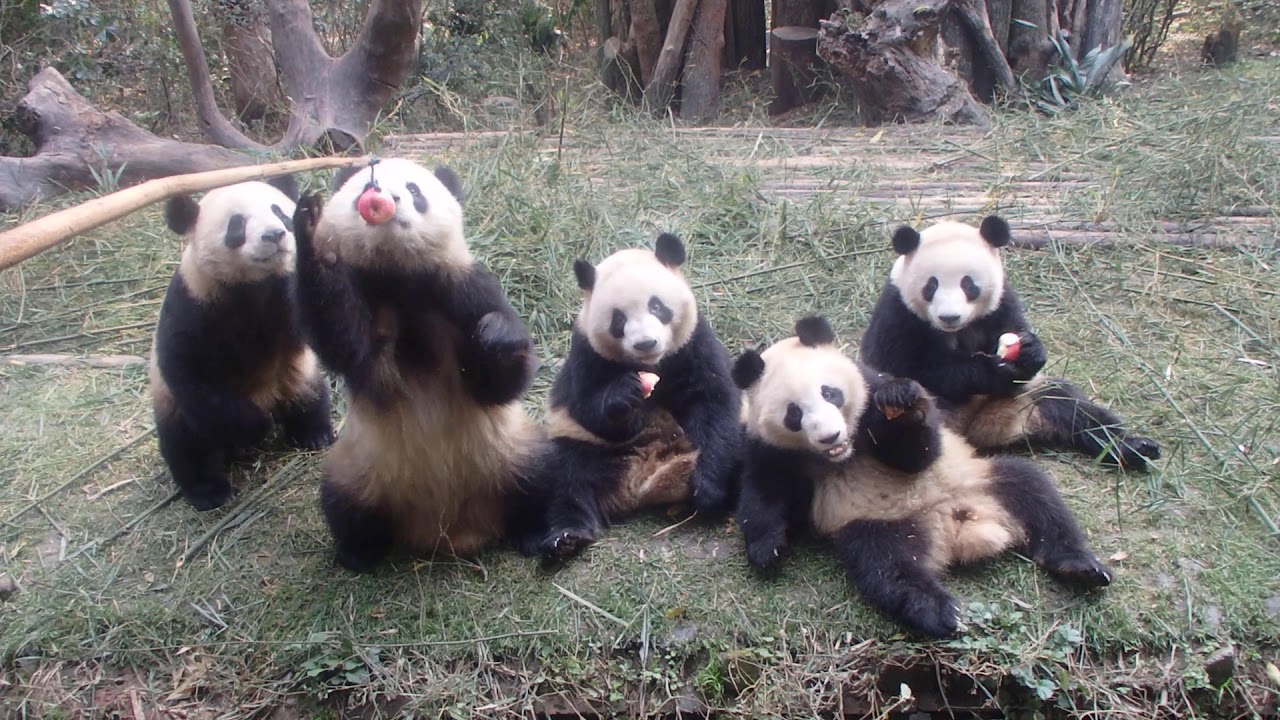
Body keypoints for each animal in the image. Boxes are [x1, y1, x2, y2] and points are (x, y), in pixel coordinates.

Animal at [150, 176, 334, 511]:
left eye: (279, 212)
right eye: (236, 224)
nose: (275, 234)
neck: (253, 283)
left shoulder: (285, 293)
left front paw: (309, 221)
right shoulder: (194, 303)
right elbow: (189, 371)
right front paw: (253, 428)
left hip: (296, 375)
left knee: (310, 396)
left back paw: (315, 435)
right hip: (173, 406)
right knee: (187, 446)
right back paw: (210, 490)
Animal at [291, 157, 543, 573]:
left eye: (413, 190)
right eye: (367, 187)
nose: (387, 200)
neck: (399, 275)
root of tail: (450, 529)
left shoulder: (461, 287)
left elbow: (499, 386)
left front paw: (498, 335)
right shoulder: (369, 297)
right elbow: (345, 342)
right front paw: (312, 232)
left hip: (507, 450)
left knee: (543, 474)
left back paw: (549, 534)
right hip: (362, 467)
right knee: (342, 503)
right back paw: (358, 553)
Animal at [509, 233, 741, 560]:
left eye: (657, 306)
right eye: (618, 320)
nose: (646, 343)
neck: (651, 364)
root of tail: (642, 484)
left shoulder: (694, 343)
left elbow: (714, 402)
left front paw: (708, 490)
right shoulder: (586, 352)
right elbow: (587, 406)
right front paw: (624, 396)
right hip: (590, 451)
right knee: (564, 479)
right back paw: (565, 537)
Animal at [732, 315, 1113, 637]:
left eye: (830, 393)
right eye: (794, 414)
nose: (830, 436)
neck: (842, 454)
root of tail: (958, 527)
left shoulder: (872, 388)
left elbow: (916, 455)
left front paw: (903, 406)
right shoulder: (769, 448)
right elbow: (763, 494)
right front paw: (768, 549)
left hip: (981, 479)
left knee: (1034, 493)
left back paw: (1080, 565)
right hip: (885, 526)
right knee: (888, 567)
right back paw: (940, 611)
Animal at [860, 215, 1161, 470]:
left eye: (969, 285)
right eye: (930, 286)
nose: (949, 316)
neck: (955, 329)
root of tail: (973, 430)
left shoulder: (1001, 303)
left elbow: (1016, 332)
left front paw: (1028, 352)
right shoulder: (897, 312)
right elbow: (911, 367)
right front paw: (988, 371)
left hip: (1020, 403)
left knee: (1068, 406)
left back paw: (1132, 447)